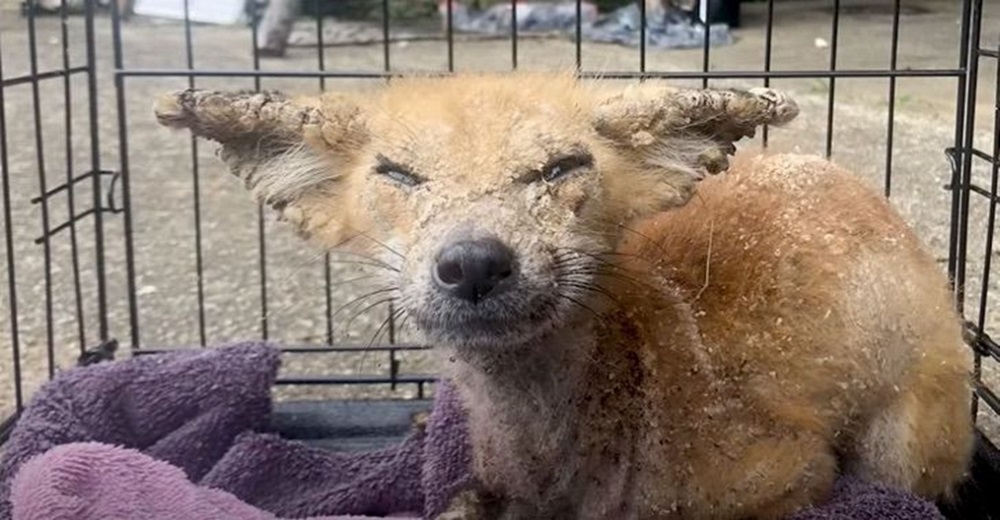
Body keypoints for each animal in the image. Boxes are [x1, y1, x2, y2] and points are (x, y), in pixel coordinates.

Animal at [152, 71, 972, 516]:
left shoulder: (792, 478)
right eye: (399, 175)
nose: (473, 263)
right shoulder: (495, 483)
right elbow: (461, 501)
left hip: (899, 449)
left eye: (560, 168)